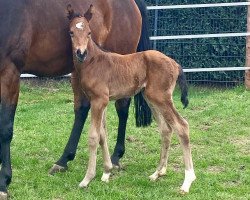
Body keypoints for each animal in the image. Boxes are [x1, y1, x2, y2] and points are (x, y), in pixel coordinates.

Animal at [0, 0, 150, 197]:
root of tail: (132, 4)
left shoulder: (10, 71)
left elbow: (5, 128)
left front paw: (4, 181)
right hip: (78, 70)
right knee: (82, 108)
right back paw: (63, 160)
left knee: (122, 107)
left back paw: (116, 157)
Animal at [68, 4, 195, 192]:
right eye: (71, 32)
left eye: (89, 32)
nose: (80, 53)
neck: (93, 62)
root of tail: (175, 64)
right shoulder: (100, 101)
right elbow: (102, 135)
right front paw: (106, 173)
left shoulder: (99, 100)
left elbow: (93, 137)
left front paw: (87, 179)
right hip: (151, 98)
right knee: (166, 129)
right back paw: (157, 173)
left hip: (161, 98)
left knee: (182, 126)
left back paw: (187, 181)